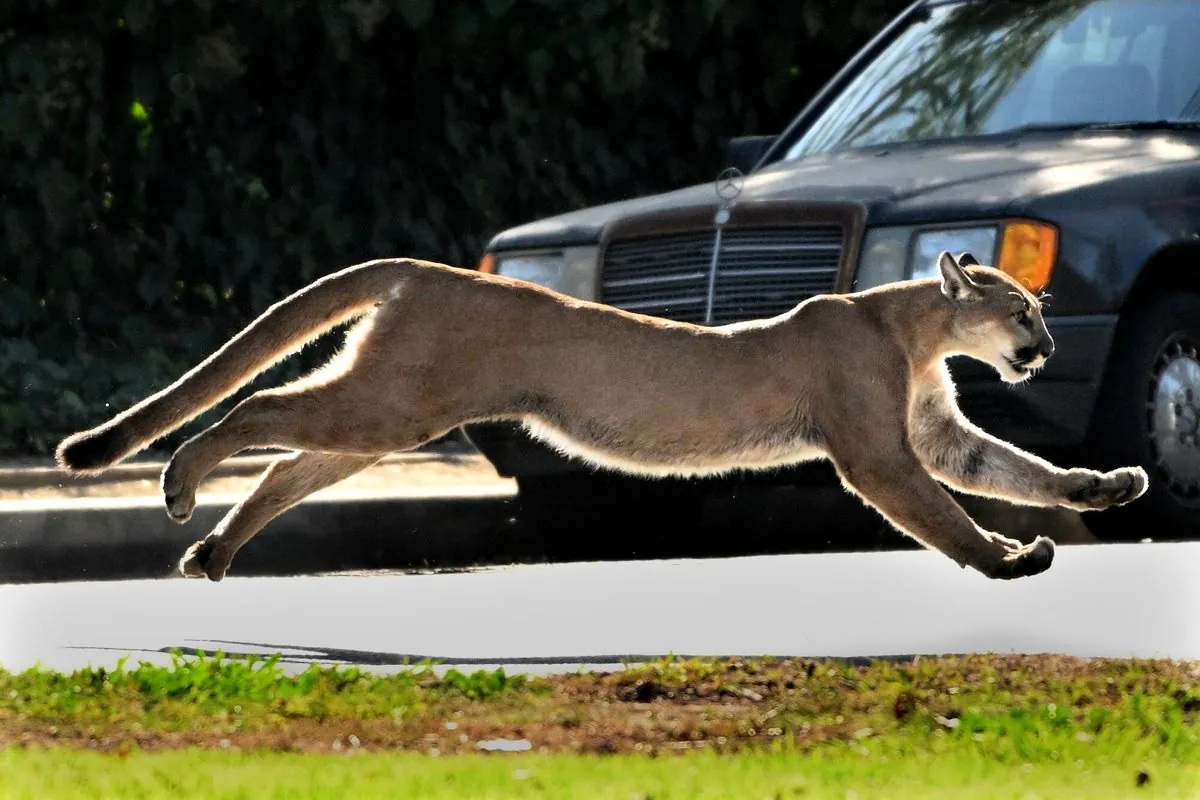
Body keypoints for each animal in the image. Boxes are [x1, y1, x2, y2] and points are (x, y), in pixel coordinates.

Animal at [54, 250, 1142, 582]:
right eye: (1022, 309)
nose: (1046, 347)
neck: (916, 331)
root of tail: (418, 267)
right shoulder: (878, 451)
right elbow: (945, 514)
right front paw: (1005, 559)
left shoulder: (935, 431)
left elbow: (1015, 469)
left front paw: (1107, 485)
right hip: (389, 401)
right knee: (262, 407)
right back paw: (177, 486)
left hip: (391, 411)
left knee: (290, 463)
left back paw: (212, 552)